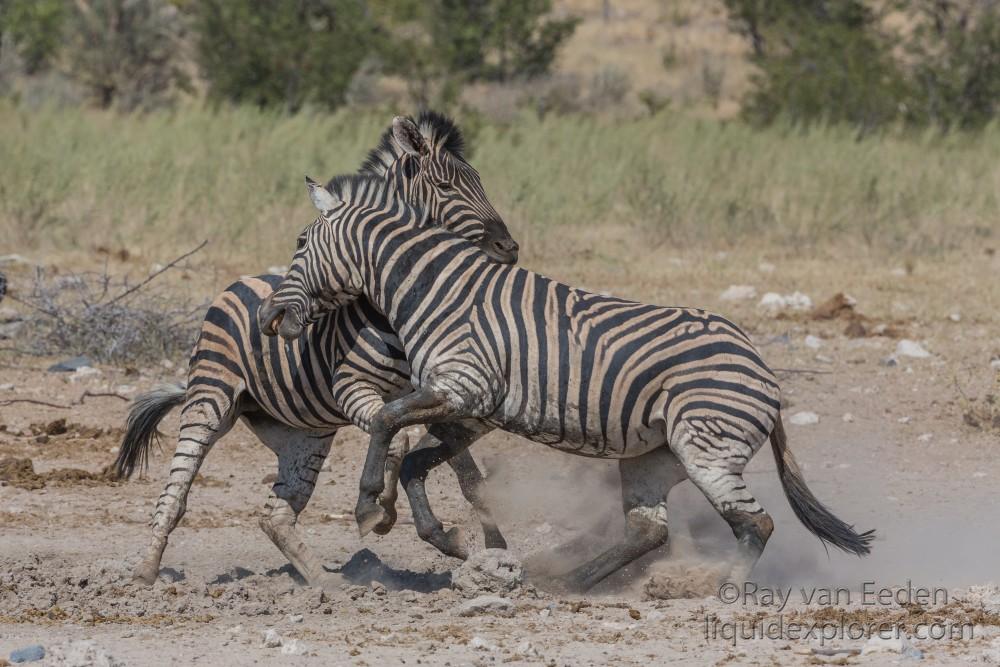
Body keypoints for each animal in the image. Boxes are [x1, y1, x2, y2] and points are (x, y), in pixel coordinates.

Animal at [117, 113, 520, 588]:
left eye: (480, 180)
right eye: (445, 186)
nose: (510, 249)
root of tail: (241, 281)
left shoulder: (434, 395)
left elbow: (463, 471)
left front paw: (475, 544)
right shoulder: (353, 389)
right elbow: (399, 441)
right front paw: (382, 511)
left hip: (303, 431)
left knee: (275, 514)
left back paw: (325, 586)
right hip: (211, 400)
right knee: (177, 491)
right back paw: (146, 571)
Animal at [260, 175, 876, 592]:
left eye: (299, 244)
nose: (270, 315)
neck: (438, 292)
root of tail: (762, 368)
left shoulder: (463, 387)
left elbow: (388, 422)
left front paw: (368, 504)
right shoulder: (467, 406)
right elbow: (414, 456)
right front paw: (428, 527)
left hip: (706, 449)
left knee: (756, 523)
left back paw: (718, 588)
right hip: (653, 456)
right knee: (648, 530)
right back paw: (568, 583)